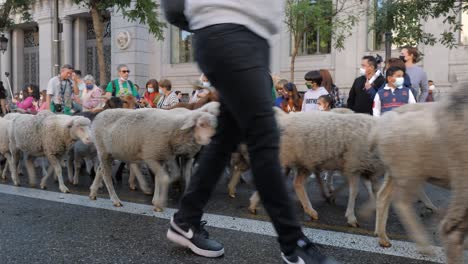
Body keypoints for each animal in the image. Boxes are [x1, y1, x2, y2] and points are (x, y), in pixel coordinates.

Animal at [90, 101, 220, 210]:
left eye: (215, 125)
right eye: (201, 124)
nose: (213, 139)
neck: (175, 128)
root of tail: (99, 115)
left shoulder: (165, 157)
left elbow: (161, 178)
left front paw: (156, 200)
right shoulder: (151, 156)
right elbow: (164, 178)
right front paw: (159, 203)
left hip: (112, 153)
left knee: (100, 169)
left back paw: (93, 193)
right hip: (103, 150)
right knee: (106, 174)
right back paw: (115, 200)